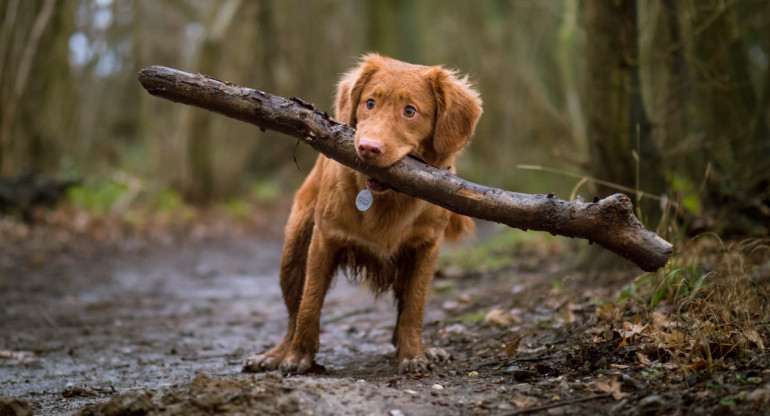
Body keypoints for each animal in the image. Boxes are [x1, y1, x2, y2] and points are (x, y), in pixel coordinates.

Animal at [243, 52, 480, 374]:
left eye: (410, 111)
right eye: (370, 103)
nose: (368, 148)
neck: (387, 198)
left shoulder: (427, 248)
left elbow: (414, 306)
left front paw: (413, 354)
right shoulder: (324, 240)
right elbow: (309, 303)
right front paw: (299, 356)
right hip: (293, 253)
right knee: (293, 312)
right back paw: (276, 354)